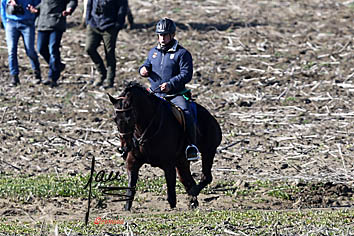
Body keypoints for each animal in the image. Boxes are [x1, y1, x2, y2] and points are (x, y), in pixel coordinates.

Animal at [108, 81, 221, 210]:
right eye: (115, 119)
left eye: (129, 118)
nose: (125, 147)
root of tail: (210, 116)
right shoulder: (132, 162)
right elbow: (130, 190)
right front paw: (126, 208)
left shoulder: (168, 165)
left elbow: (171, 196)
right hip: (182, 161)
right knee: (188, 180)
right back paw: (192, 201)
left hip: (208, 152)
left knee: (206, 177)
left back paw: (193, 193)